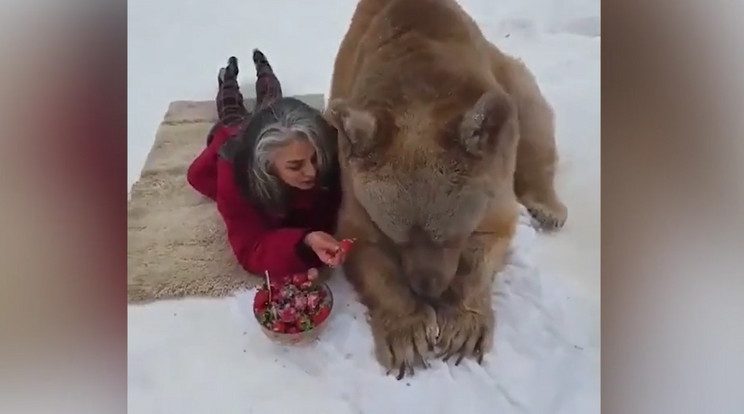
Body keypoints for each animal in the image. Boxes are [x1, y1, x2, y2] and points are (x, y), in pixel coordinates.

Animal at [324, 0, 564, 378]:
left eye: (452, 235)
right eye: (399, 236)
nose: (429, 290)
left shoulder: (492, 173)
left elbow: (492, 234)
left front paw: (462, 328)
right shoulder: (354, 182)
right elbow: (362, 245)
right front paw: (408, 335)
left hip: (509, 81)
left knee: (532, 114)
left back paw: (546, 208)